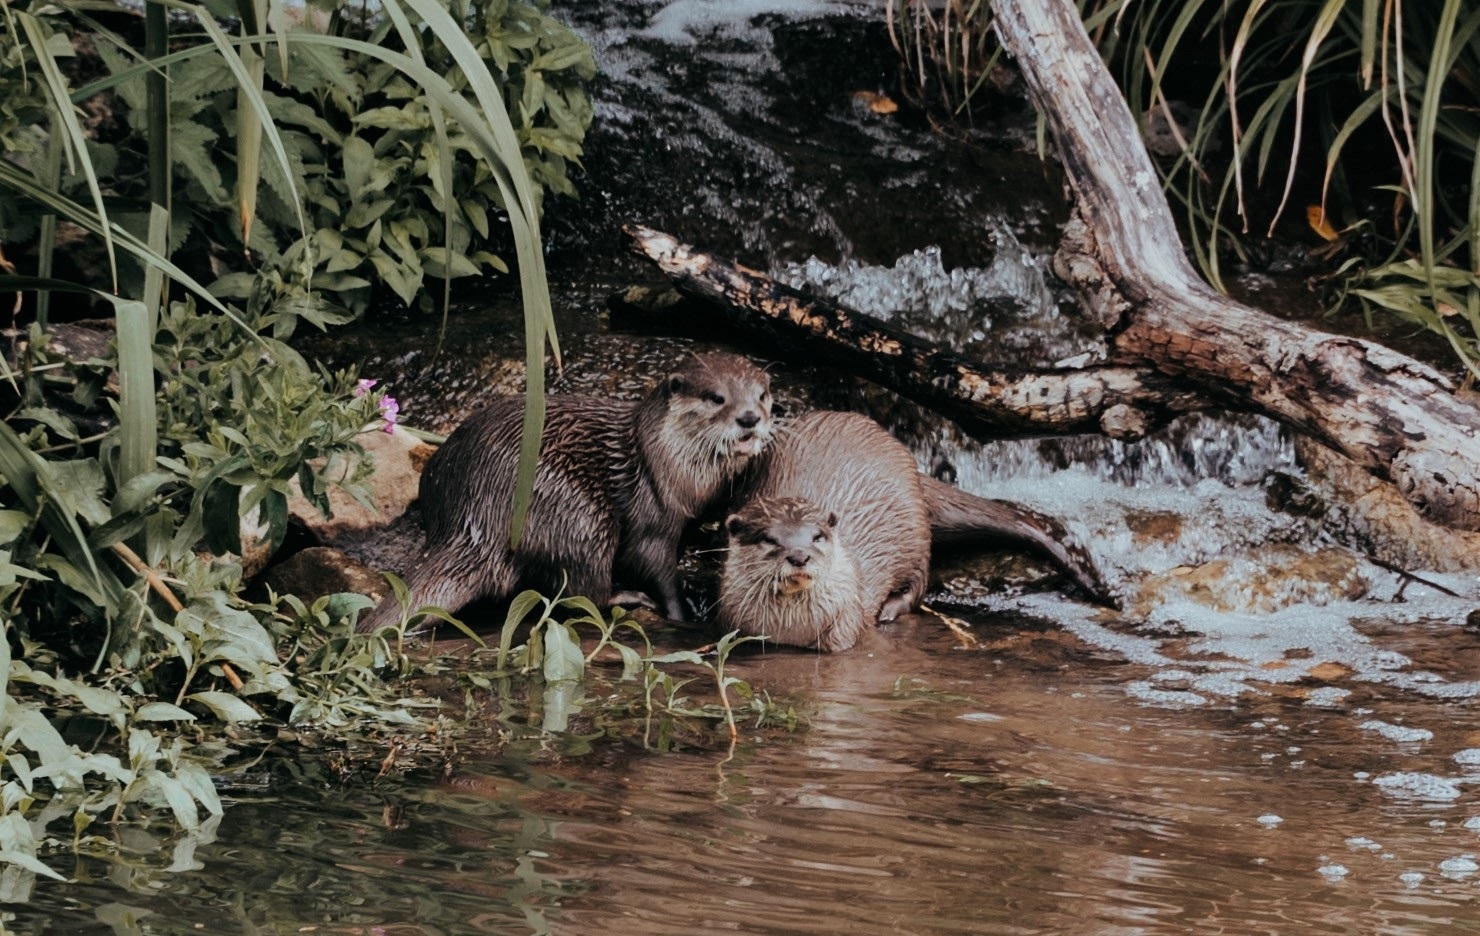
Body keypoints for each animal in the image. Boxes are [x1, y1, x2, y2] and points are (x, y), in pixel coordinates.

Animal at [356, 352, 773, 633]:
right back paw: (626, 597)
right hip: (577, 508)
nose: (749, 417)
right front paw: (681, 614)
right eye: (716, 397)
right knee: (581, 587)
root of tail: (469, 521)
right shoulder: (653, 514)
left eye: (764, 395)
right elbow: (652, 564)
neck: (672, 466)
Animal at [717, 410, 1113, 652]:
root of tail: (913, 467)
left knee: (920, 582)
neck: (792, 632)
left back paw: (889, 610)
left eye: (817, 536)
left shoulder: (844, 630)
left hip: (915, 534)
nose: (798, 555)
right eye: (768, 539)